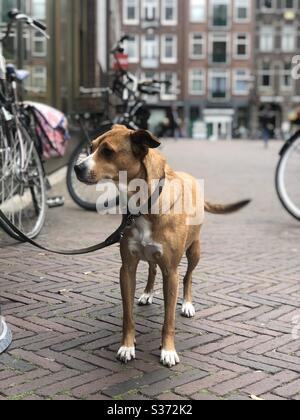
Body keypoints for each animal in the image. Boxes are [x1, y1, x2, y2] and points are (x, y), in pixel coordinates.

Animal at [74, 125, 248, 368]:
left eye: (107, 151)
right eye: (91, 147)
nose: (76, 168)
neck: (144, 204)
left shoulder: (171, 272)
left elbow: (169, 319)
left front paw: (168, 350)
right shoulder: (127, 269)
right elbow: (127, 315)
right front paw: (127, 346)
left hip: (194, 251)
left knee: (188, 277)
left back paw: (187, 304)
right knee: (151, 269)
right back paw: (147, 293)